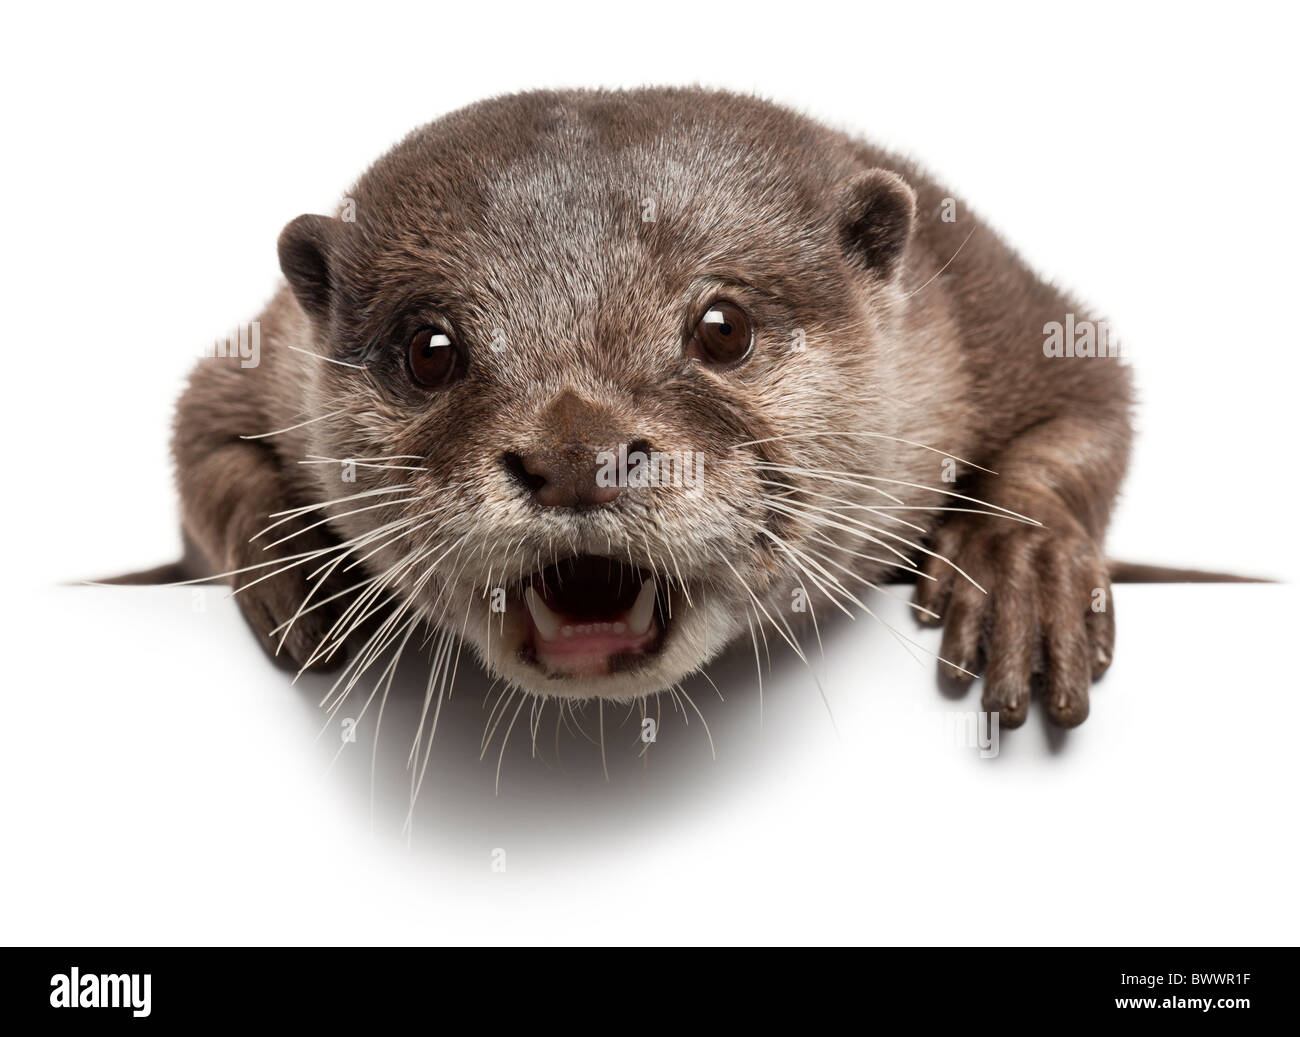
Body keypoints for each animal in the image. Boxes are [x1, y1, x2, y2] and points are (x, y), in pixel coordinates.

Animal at [157, 87, 1144, 732]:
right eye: (428, 348)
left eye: (722, 326)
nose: (574, 454)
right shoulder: (267, 356)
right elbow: (200, 434)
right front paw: (301, 556)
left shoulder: (982, 307)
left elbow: (1088, 403)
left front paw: (1018, 565)